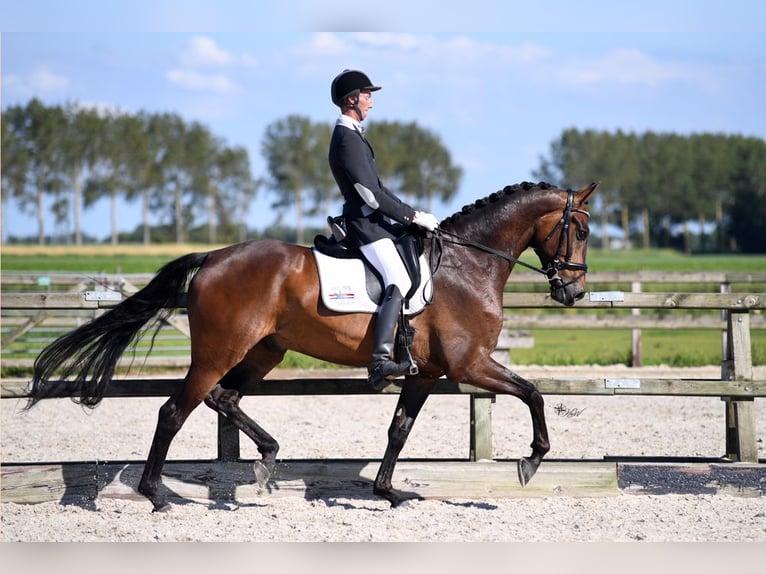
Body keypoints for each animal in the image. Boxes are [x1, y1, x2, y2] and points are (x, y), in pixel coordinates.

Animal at [25, 181, 600, 512]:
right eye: (581, 229)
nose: (573, 292)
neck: (468, 265)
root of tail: (212, 257)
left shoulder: (428, 373)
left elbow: (399, 430)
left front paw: (388, 492)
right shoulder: (470, 364)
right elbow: (532, 392)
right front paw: (531, 460)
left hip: (264, 351)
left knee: (223, 399)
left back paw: (266, 459)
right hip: (219, 352)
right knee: (174, 410)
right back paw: (156, 495)